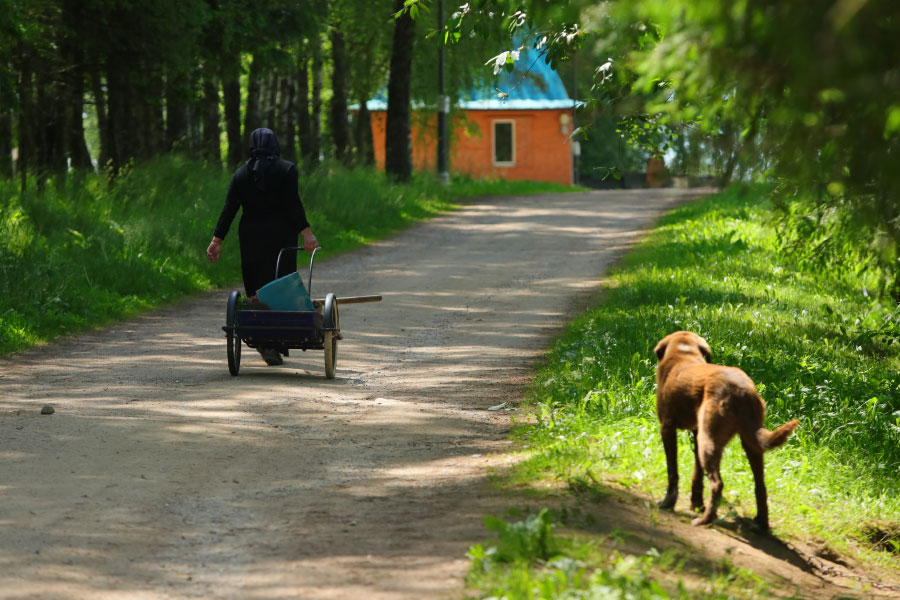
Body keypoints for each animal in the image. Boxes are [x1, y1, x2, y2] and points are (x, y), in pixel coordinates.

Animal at [652, 330, 796, 532]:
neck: (683, 352)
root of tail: (743, 391)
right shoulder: (696, 432)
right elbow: (697, 475)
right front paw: (697, 504)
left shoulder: (667, 428)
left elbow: (673, 472)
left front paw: (668, 502)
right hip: (749, 443)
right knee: (760, 486)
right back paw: (760, 523)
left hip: (709, 441)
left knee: (718, 484)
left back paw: (706, 520)